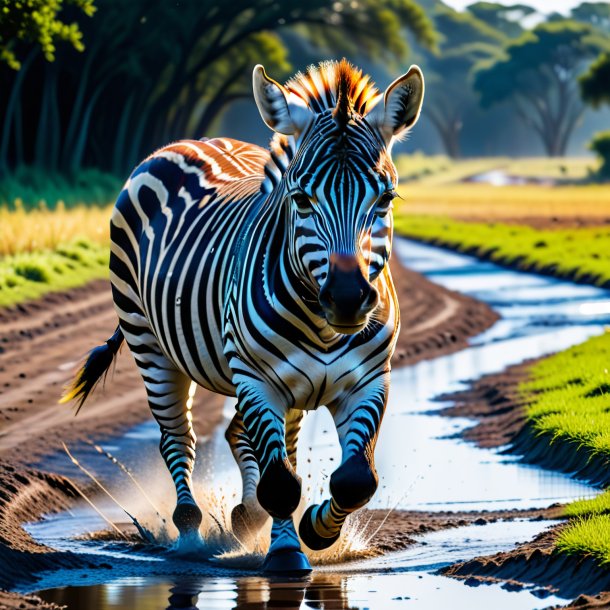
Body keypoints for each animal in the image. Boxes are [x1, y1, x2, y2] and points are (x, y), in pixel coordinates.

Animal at [61, 59, 422, 572]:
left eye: (386, 199)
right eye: (301, 199)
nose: (348, 298)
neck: (324, 329)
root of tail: (192, 141)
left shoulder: (369, 381)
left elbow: (355, 479)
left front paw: (316, 529)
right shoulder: (257, 380)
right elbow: (281, 482)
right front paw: (287, 552)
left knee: (252, 438)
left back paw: (247, 515)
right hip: (150, 345)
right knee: (178, 438)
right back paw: (191, 529)